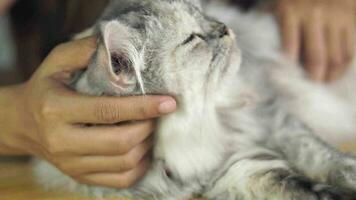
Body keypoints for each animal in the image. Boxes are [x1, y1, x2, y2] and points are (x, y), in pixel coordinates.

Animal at [32, 0, 356, 200]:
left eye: (203, 14)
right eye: (193, 39)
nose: (225, 27)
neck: (205, 123)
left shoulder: (277, 121)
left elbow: (326, 158)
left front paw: (349, 177)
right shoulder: (237, 169)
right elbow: (299, 186)